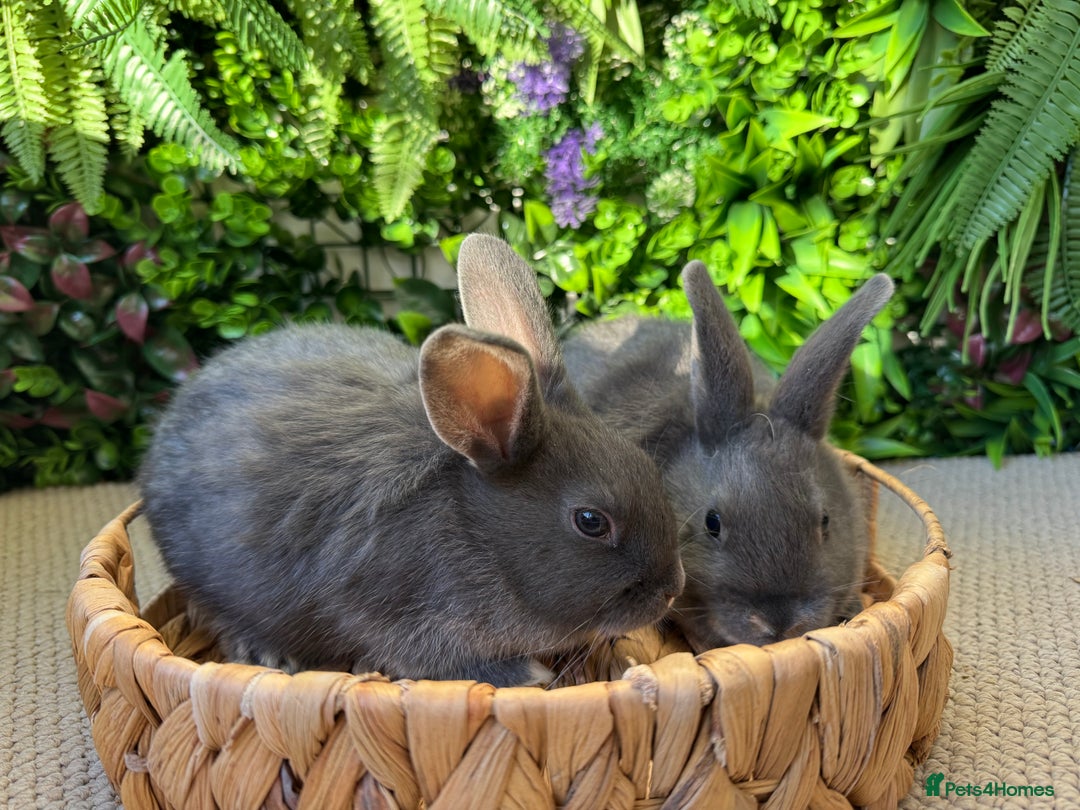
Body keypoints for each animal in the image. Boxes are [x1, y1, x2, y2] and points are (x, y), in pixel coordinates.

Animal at [139, 234, 684, 687]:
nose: (672, 589)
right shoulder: (392, 613)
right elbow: (426, 657)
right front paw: (527, 674)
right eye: (591, 521)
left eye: (645, 463)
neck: (477, 531)